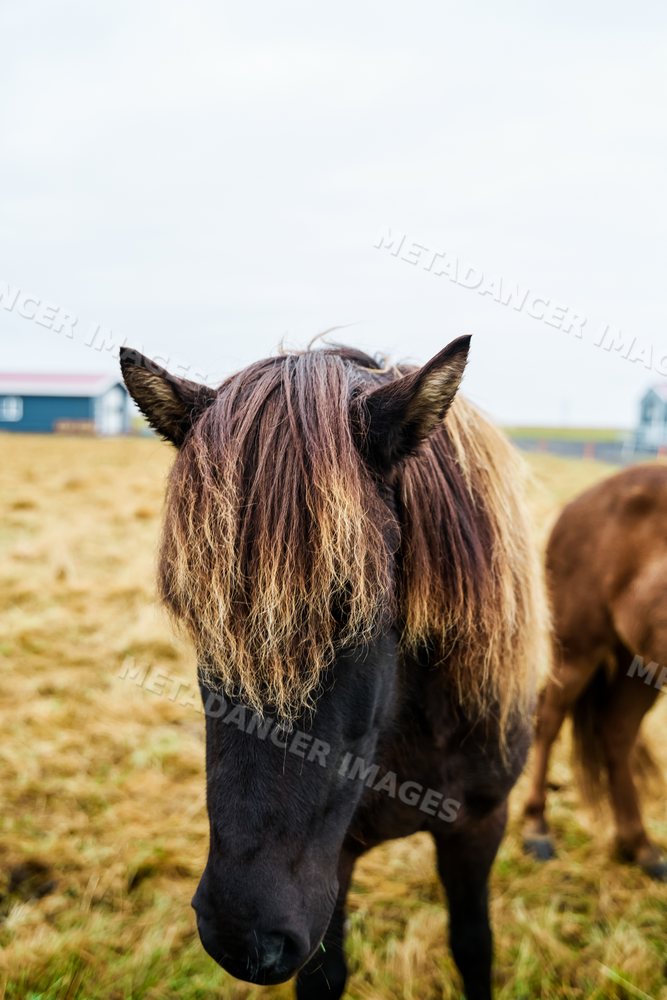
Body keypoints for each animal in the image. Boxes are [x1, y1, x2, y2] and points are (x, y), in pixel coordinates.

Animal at [120, 336, 548, 1000]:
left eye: (349, 600)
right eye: (192, 608)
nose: (242, 937)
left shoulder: (480, 825)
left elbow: (474, 947)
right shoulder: (333, 859)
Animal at [523, 463, 667, 881]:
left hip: (639, 662)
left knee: (617, 733)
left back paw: (640, 845)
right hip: (579, 647)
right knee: (550, 719)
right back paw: (536, 828)